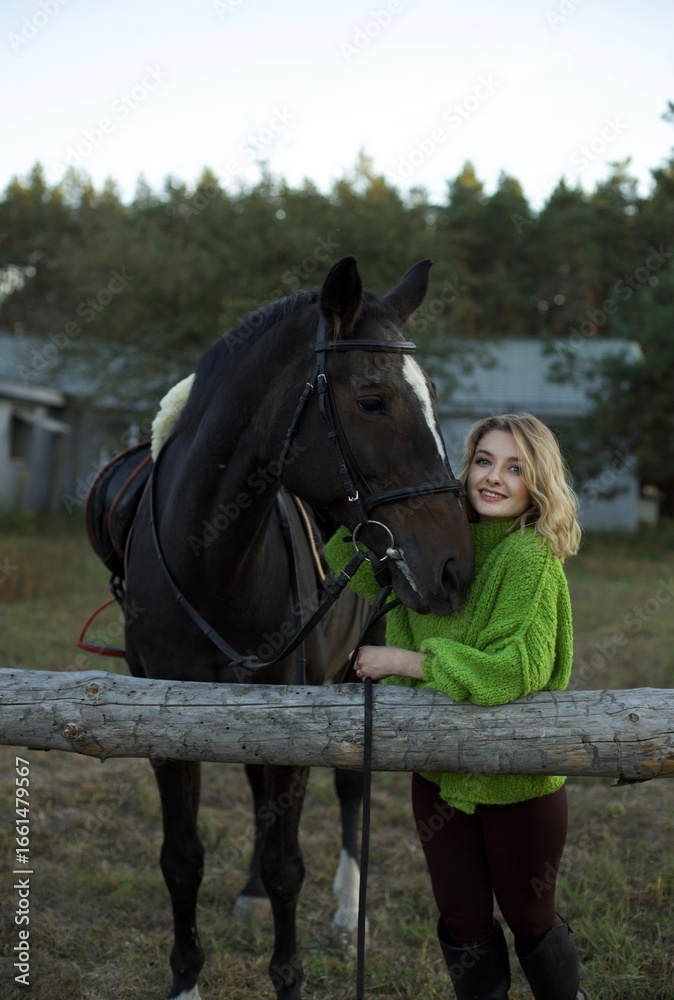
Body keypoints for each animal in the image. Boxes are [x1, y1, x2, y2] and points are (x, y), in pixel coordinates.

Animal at [122, 255, 475, 1000]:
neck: (211, 564)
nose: (457, 565)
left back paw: (346, 910)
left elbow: (290, 864)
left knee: (348, 791)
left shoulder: (298, 710)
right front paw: (186, 979)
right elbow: (181, 859)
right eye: (372, 399)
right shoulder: (162, 726)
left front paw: (289, 974)